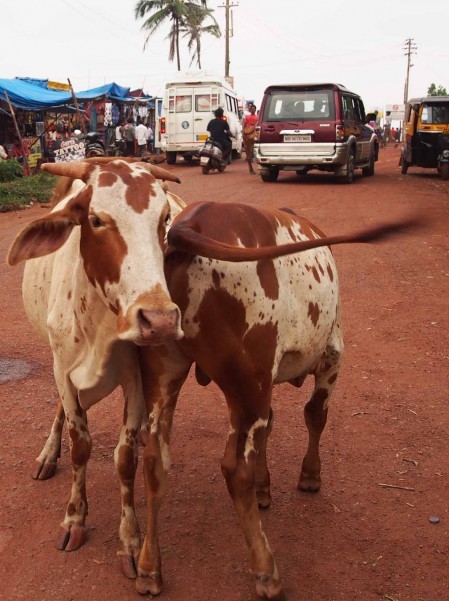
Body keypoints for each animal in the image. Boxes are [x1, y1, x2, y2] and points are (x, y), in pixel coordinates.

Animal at [6, 158, 182, 556]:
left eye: (164, 218)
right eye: (96, 220)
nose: (160, 320)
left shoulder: (135, 378)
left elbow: (125, 458)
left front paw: (130, 535)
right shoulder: (63, 371)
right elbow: (80, 447)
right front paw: (75, 518)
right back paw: (47, 454)